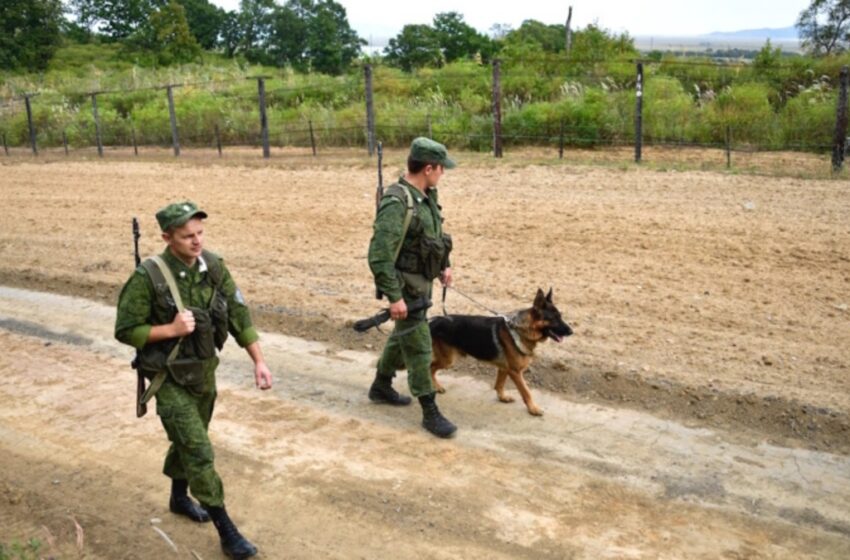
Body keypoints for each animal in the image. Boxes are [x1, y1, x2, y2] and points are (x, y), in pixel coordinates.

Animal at [430, 288, 568, 416]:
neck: (521, 329)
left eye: (560, 316)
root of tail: (434, 320)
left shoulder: (505, 368)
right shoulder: (515, 372)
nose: (571, 331)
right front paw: (533, 409)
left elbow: (499, 385)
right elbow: (526, 392)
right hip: (448, 360)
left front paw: (502, 398)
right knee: (430, 367)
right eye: (553, 318)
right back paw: (436, 386)